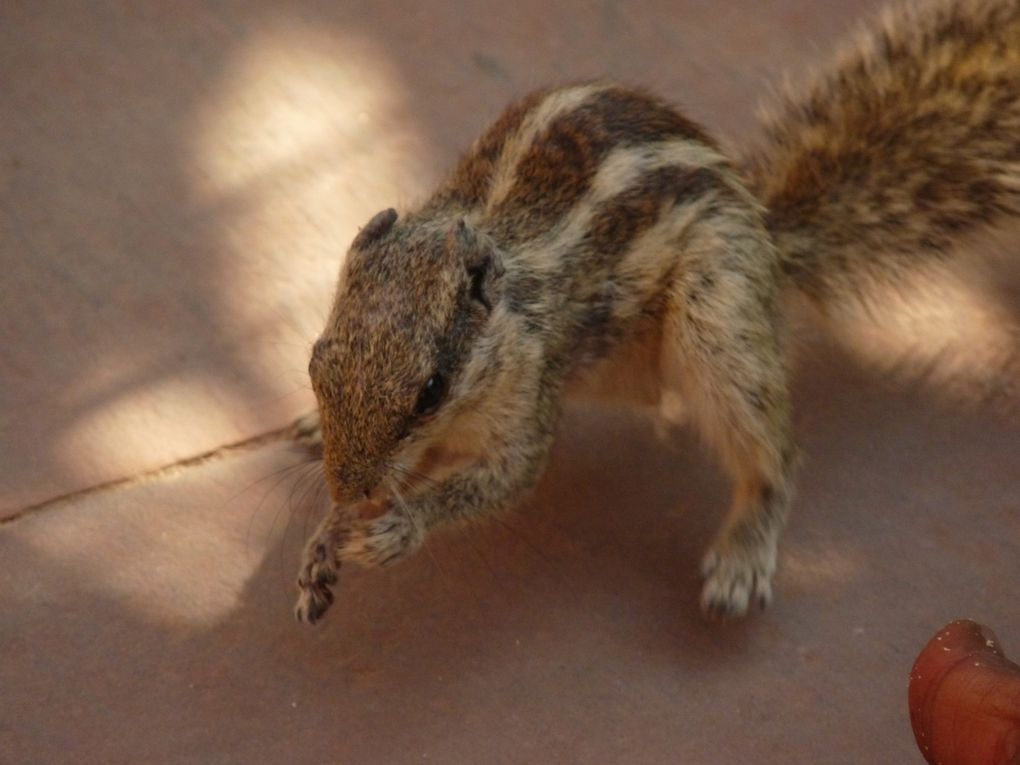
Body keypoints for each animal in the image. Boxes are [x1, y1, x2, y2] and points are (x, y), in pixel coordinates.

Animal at [291, 0, 1015, 624]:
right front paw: (324, 539)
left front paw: (397, 526)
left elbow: (508, 477)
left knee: (775, 456)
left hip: (720, 317)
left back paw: (743, 554)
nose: (349, 489)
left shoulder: (528, 392)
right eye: (314, 362)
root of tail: (768, 233)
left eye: (431, 389)